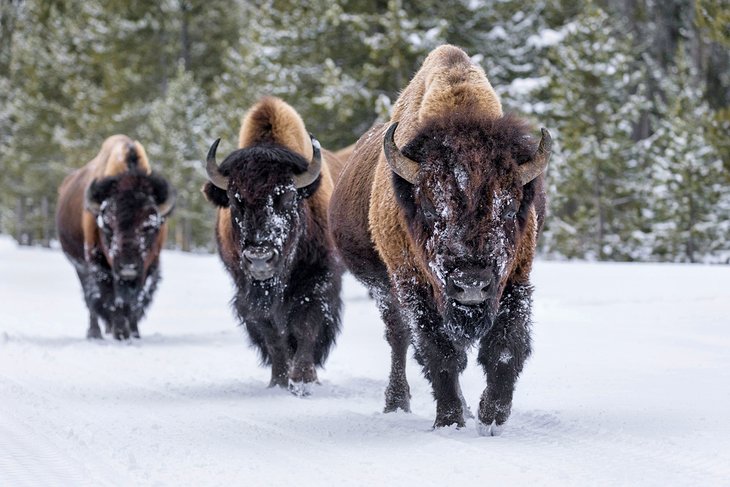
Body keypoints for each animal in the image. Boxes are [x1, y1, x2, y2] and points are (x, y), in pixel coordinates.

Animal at [55, 133, 175, 340]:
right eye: (107, 226)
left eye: (149, 227)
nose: (128, 267)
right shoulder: (99, 265)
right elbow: (111, 298)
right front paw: (120, 332)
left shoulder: (148, 266)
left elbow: (135, 300)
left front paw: (133, 332)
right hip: (79, 266)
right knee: (90, 298)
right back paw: (95, 333)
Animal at [202, 96, 344, 396]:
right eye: (235, 199)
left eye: (287, 196)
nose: (259, 258)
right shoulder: (246, 291)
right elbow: (272, 333)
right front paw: (278, 380)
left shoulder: (319, 281)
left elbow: (305, 326)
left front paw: (303, 379)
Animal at [328, 45, 548, 434]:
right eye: (431, 207)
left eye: (509, 208)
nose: (471, 283)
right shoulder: (414, 285)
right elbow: (439, 352)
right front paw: (449, 420)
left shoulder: (515, 280)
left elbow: (505, 348)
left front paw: (491, 417)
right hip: (384, 289)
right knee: (398, 338)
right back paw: (396, 402)